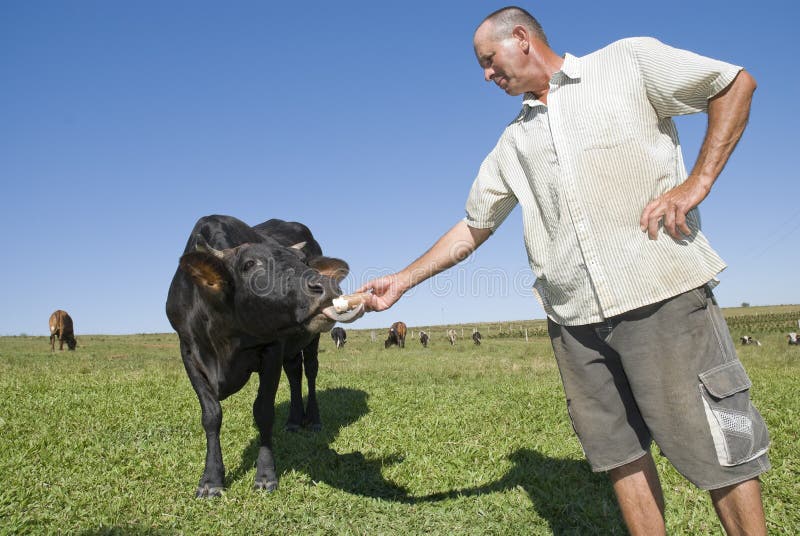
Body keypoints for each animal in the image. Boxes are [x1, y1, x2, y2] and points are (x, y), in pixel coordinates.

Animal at [166, 215, 360, 498]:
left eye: (303, 262)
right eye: (249, 264)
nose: (326, 286)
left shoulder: (272, 349)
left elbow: (263, 411)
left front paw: (266, 475)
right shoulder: (189, 353)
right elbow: (211, 416)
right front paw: (211, 479)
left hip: (311, 340)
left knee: (310, 372)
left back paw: (312, 419)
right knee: (294, 374)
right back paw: (293, 421)